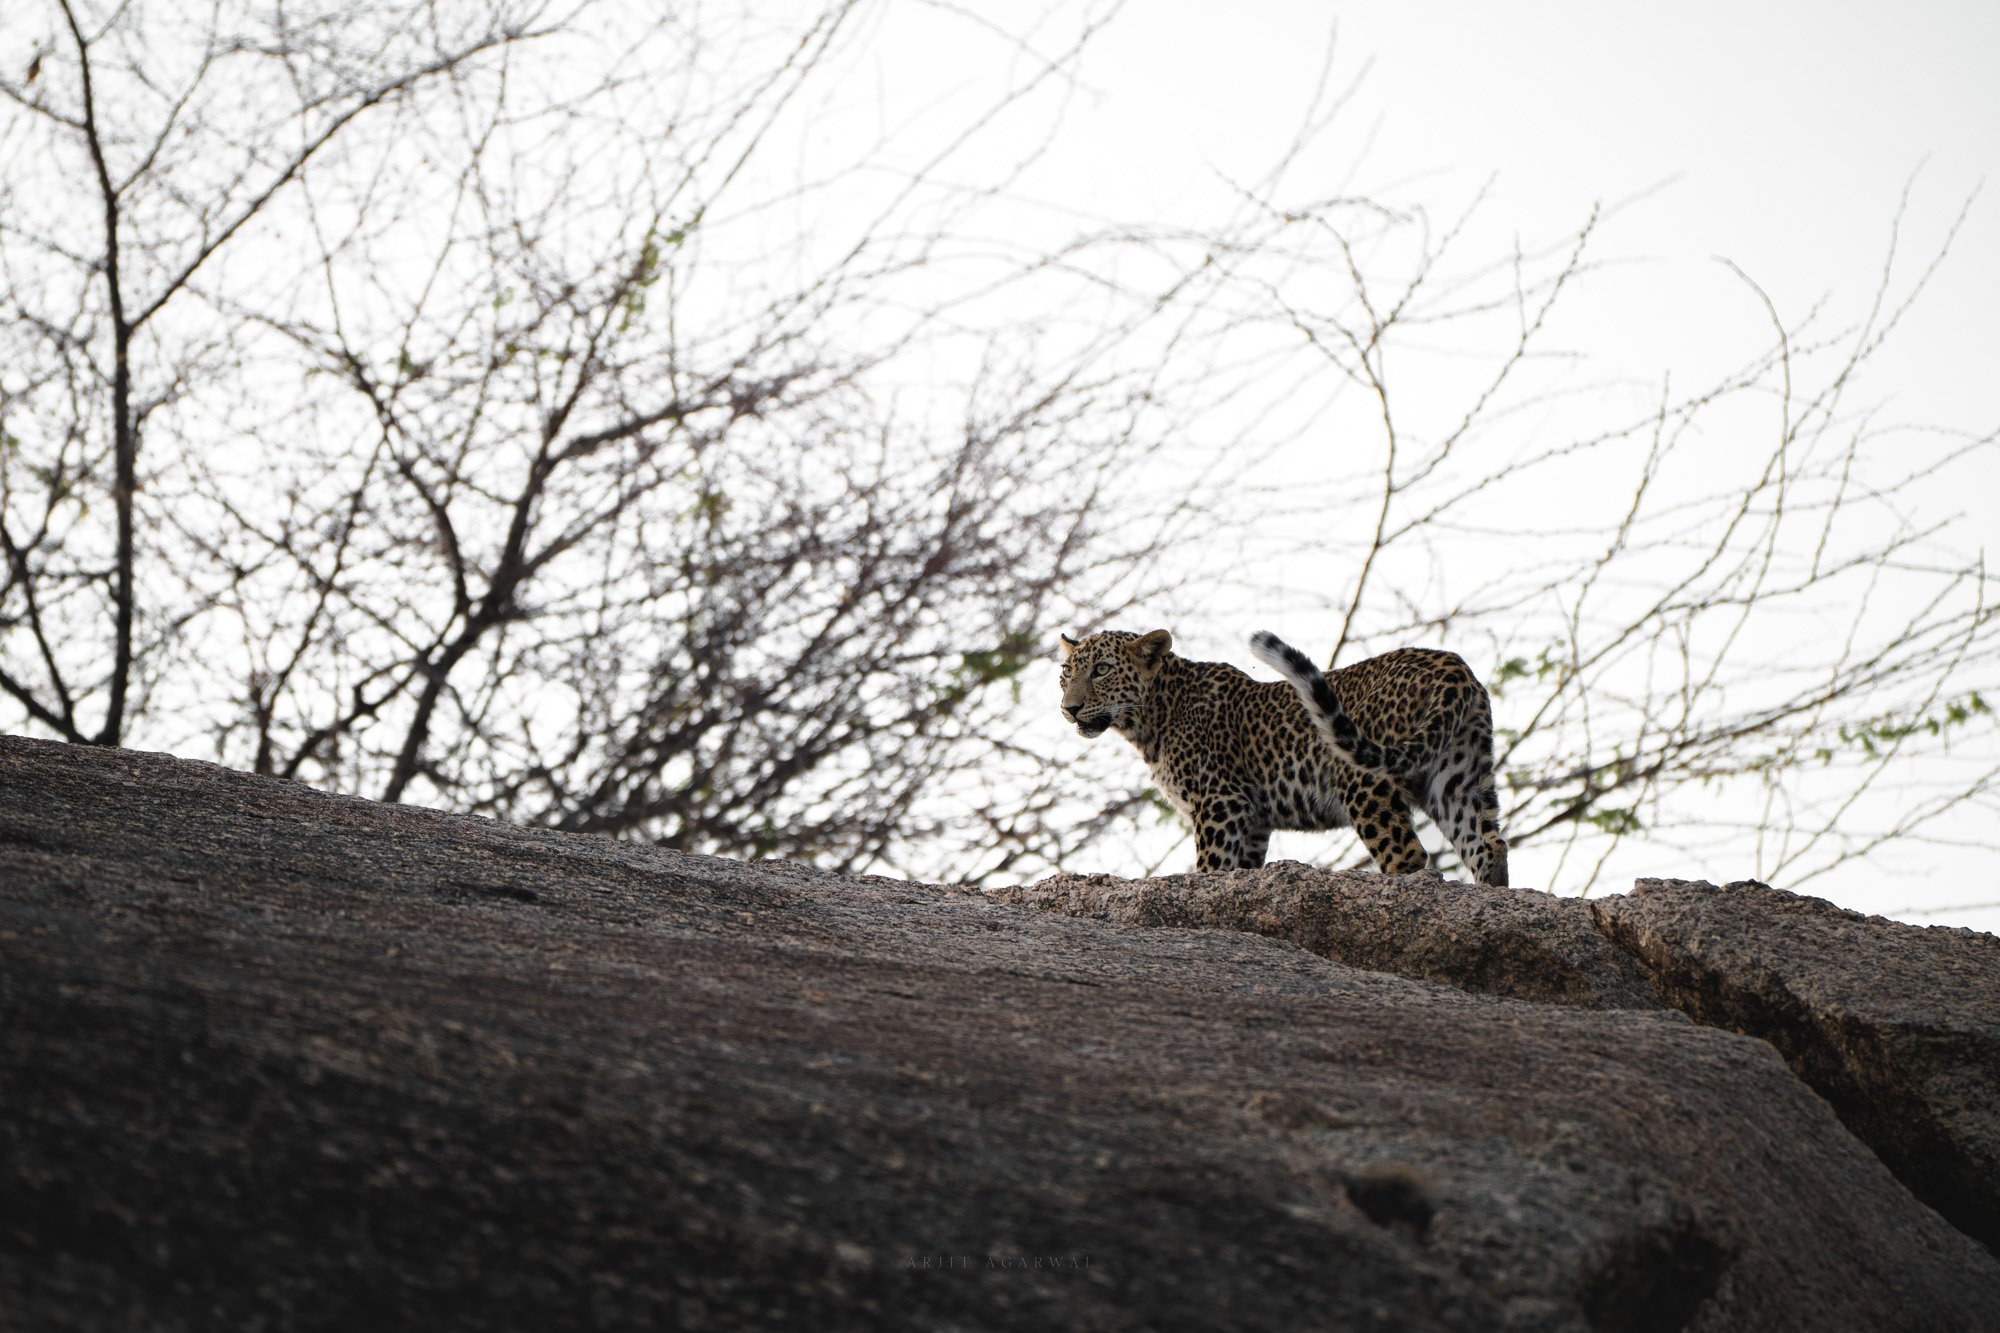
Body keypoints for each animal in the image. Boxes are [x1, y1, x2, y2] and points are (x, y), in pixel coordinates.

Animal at [1058, 627, 1508, 885]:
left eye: (1101, 670)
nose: (1069, 708)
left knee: (1408, 856)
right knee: (1490, 846)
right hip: (1459, 780)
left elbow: (1210, 868)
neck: (1151, 719)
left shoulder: (1220, 803)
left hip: (1368, 785)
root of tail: (1451, 664)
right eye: (1066, 674)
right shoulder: (1254, 821)